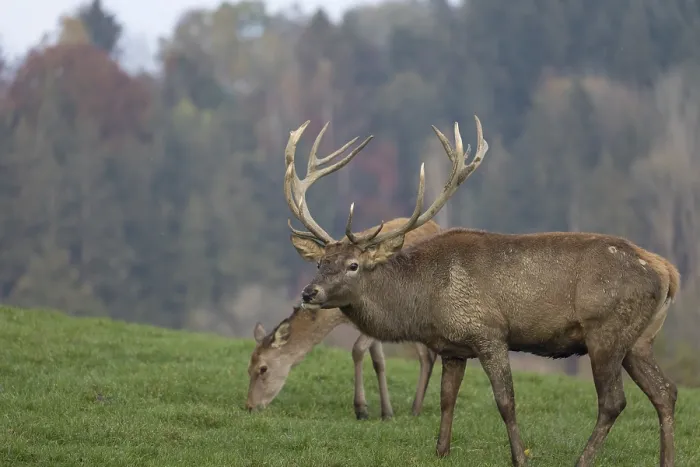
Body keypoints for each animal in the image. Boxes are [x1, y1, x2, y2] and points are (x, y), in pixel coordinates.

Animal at [246, 217, 440, 420]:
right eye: (248, 368)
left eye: (263, 368)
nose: (250, 406)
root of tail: (436, 225)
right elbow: (378, 360)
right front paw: (386, 412)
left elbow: (357, 350)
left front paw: (361, 409)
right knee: (426, 354)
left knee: (427, 354)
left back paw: (416, 408)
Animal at [281, 116, 680, 467]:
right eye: (321, 263)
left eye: (353, 265)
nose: (309, 292)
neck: (424, 303)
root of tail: (667, 271)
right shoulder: (453, 347)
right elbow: (447, 399)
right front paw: (441, 451)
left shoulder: (489, 332)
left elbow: (506, 401)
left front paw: (520, 458)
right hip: (640, 339)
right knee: (666, 392)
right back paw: (666, 460)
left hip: (606, 331)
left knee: (613, 401)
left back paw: (582, 460)